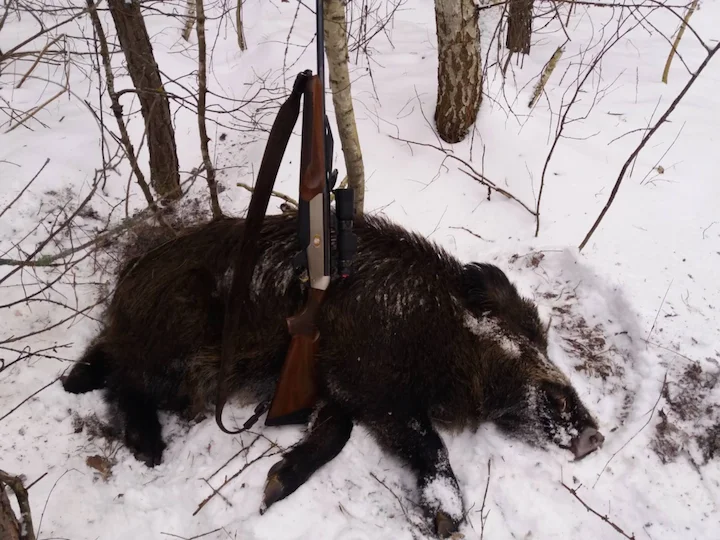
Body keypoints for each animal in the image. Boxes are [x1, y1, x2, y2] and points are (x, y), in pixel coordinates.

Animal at [62, 210, 604, 537]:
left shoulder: (339, 388)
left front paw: (272, 489)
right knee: (127, 379)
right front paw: (449, 521)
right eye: (520, 335)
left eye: (540, 334)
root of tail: (130, 275)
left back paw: (76, 383)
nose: (595, 435)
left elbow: (337, 431)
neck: (436, 329)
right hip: (184, 343)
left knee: (107, 361)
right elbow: (424, 441)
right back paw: (148, 450)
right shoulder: (373, 381)